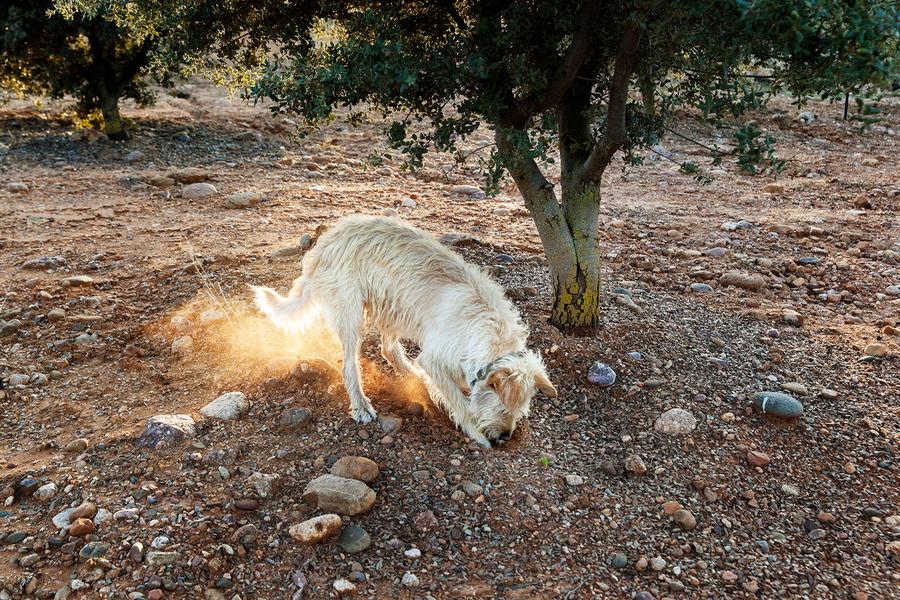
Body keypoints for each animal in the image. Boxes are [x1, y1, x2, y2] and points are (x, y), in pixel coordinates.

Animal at [253, 214, 556, 446]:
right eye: (503, 408)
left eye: (520, 412)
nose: (506, 437)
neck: (490, 330)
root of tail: (324, 242)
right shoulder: (434, 358)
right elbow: (457, 400)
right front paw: (476, 433)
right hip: (351, 313)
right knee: (349, 364)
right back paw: (361, 405)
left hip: (392, 303)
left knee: (387, 348)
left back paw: (412, 375)